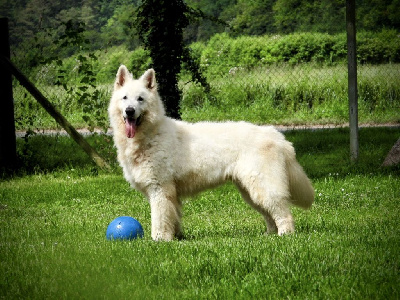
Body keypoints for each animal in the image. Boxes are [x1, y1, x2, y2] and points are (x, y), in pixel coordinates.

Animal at [108, 66, 314, 241]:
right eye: (125, 98)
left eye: (140, 99)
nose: (129, 111)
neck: (150, 134)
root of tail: (276, 135)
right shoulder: (170, 194)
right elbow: (174, 218)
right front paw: (177, 238)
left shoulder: (160, 189)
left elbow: (160, 219)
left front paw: (160, 240)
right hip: (249, 190)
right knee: (269, 214)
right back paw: (269, 235)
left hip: (263, 186)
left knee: (282, 211)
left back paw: (285, 234)